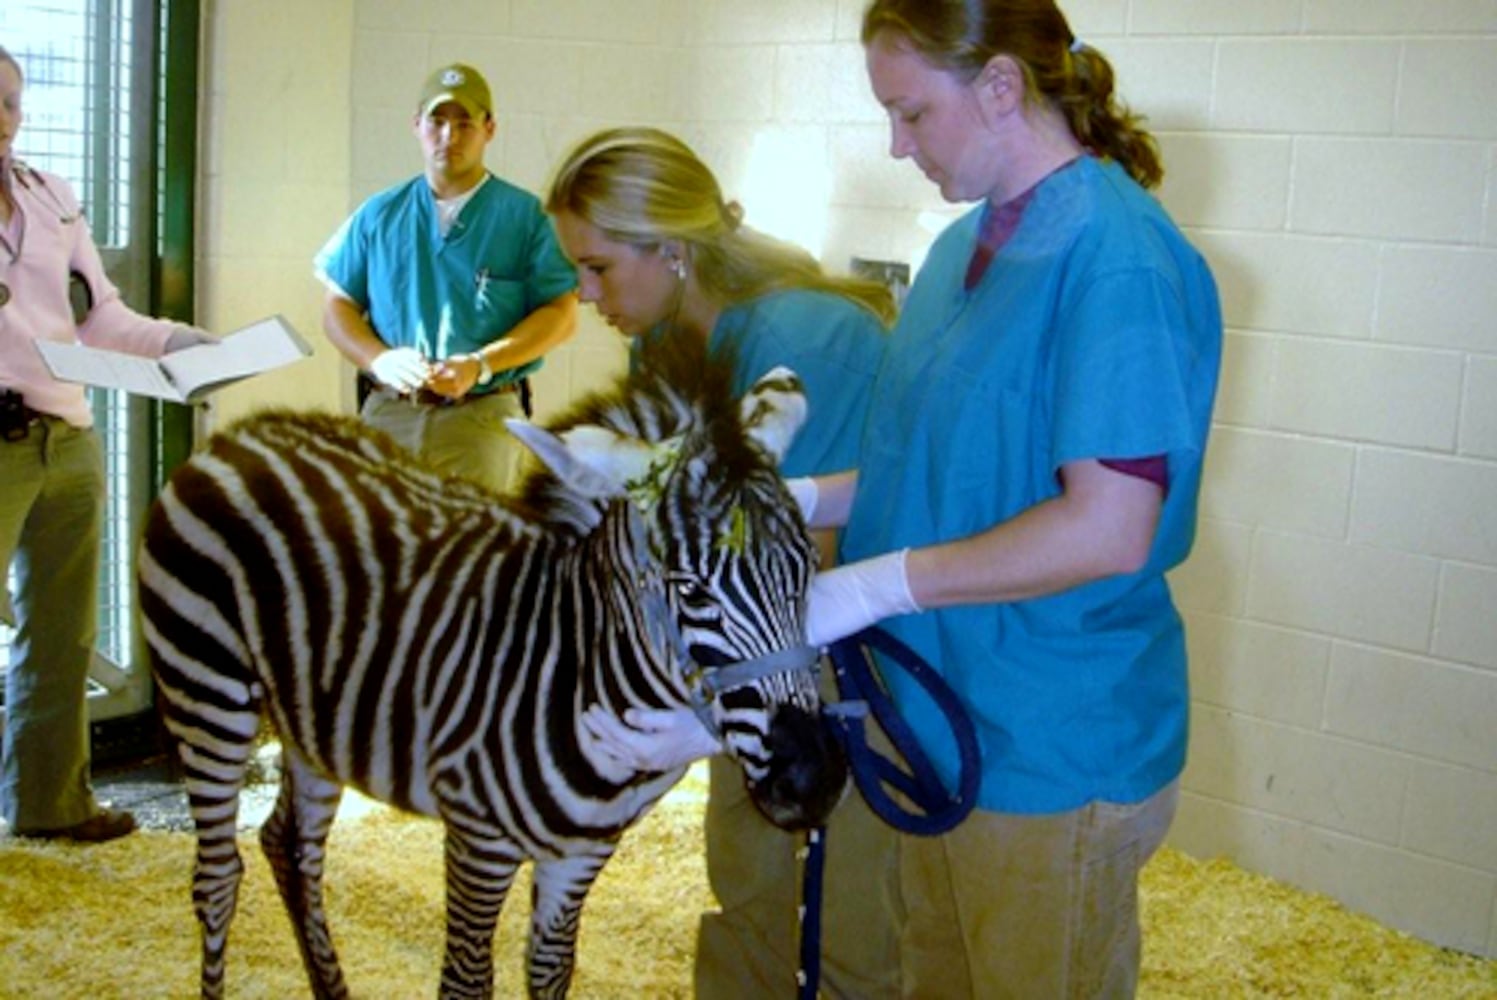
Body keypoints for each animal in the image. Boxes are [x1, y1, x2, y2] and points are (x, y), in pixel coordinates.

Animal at [137, 339, 844, 994]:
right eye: (692, 591)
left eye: (809, 567)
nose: (814, 779)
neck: (580, 671)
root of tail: (242, 433)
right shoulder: (479, 843)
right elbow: (467, 980)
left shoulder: (584, 853)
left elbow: (551, 970)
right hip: (204, 688)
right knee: (217, 880)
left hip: (316, 719)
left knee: (291, 846)